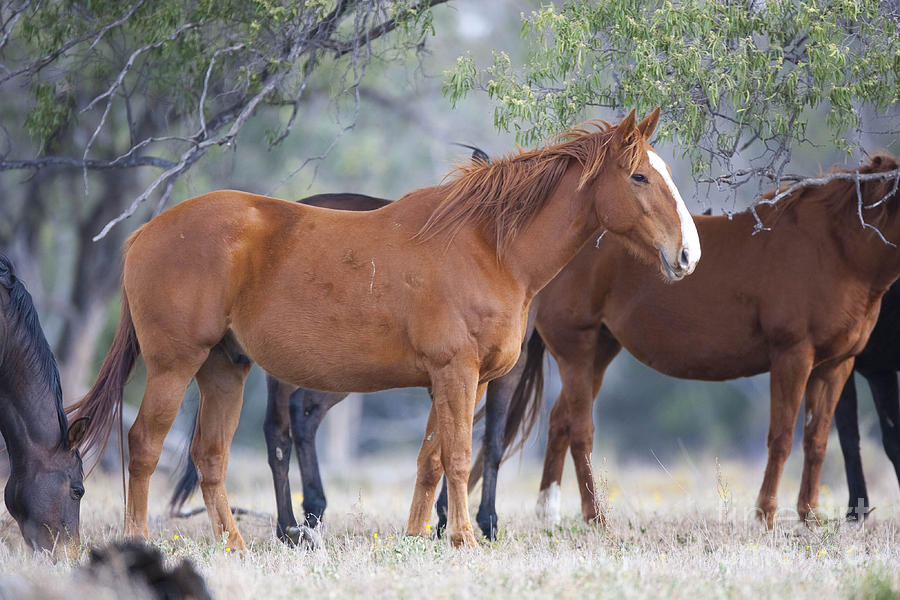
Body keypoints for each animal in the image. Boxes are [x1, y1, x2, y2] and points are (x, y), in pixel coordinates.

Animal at [72, 108, 704, 548]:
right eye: (640, 177)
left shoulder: (462, 379)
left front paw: (418, 535)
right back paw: (140, 540)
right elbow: (459, 455)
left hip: (225, 368)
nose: (688, 254)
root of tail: (145, 234)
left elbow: (431, 459)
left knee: (210, 457)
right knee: (145, 445)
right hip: (175, 366)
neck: (489, 247)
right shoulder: (457, 373)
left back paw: (237, 547)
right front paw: (465, 537)